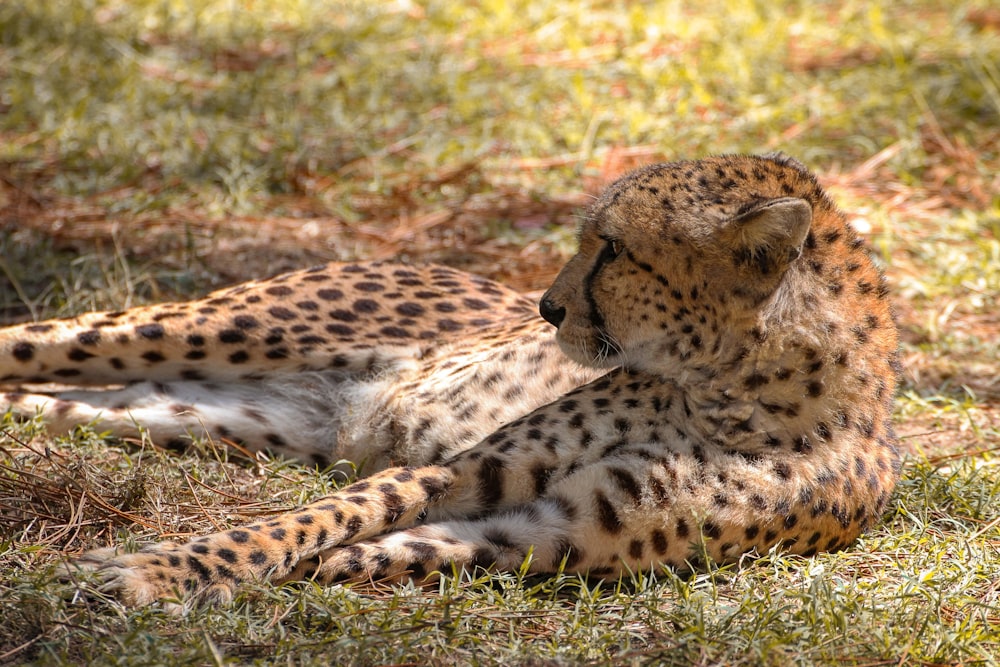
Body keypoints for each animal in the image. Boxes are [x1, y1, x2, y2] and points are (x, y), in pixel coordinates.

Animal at [0, 155, 904, 604]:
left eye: (613, 248)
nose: (547, 307)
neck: (737, 389)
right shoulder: (464, 465)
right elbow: (301, 523)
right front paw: (157, 573)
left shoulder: (545, 534)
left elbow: (362, 552)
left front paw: (252, 583)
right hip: (216, 329)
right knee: (35, 341)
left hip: (220, 416)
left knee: (77, 403)